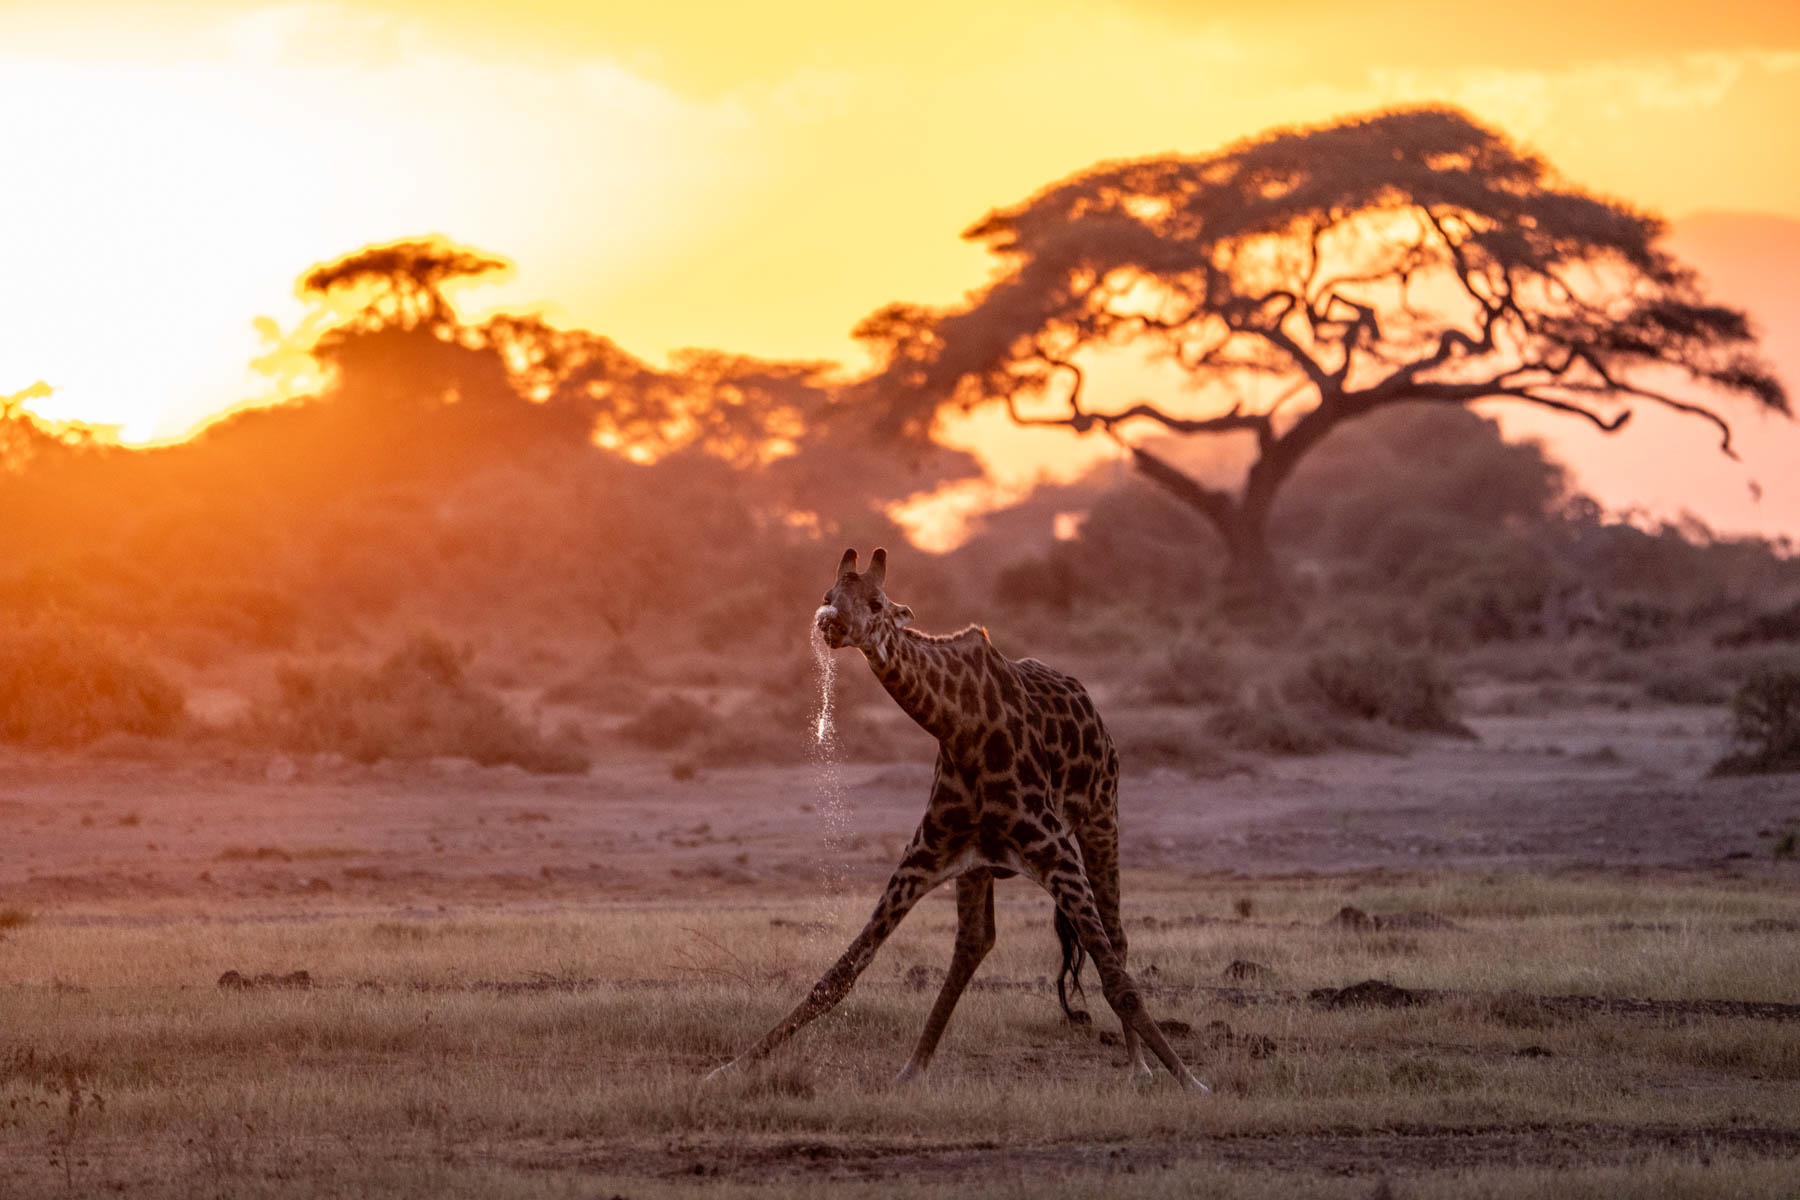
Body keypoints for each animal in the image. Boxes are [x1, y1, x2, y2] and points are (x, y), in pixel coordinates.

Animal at [708, 547, 1208, 1091]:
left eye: (877, 603)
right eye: (828, 595)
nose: (832, 625)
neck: (961, 729)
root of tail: (1092, 706)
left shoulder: (1054, 849)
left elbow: (1119, 981)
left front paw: (1191, 1082)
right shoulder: (927, 853)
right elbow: (840, 973)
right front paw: (731, 1066)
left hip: (1101, 819)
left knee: (1115, 938)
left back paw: (1139, 1064)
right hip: (980, 863)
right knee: (974, 942)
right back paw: (912, 1067)